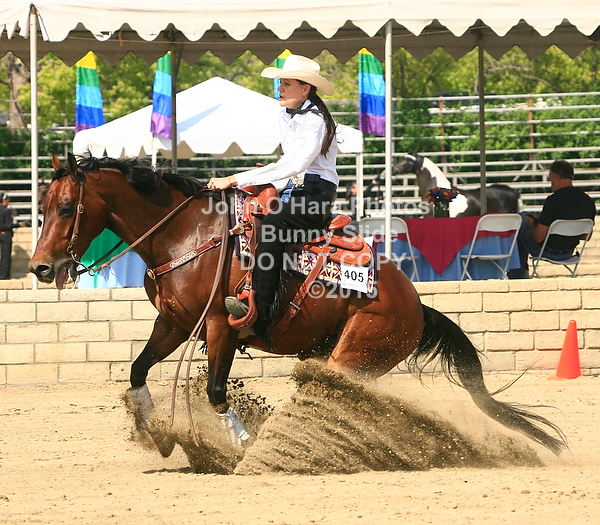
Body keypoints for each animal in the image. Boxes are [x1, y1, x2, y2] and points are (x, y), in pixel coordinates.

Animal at [29, 152, 567, 456]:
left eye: (68, 208)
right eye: (42, 206)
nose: (40, 268)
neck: (187, 234)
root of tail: (416, 306)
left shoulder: (221, 327)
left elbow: (216, 391)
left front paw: (243, 445)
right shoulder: (175, 325)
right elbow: (138, 371)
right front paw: (157, 434)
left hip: (353, 357)